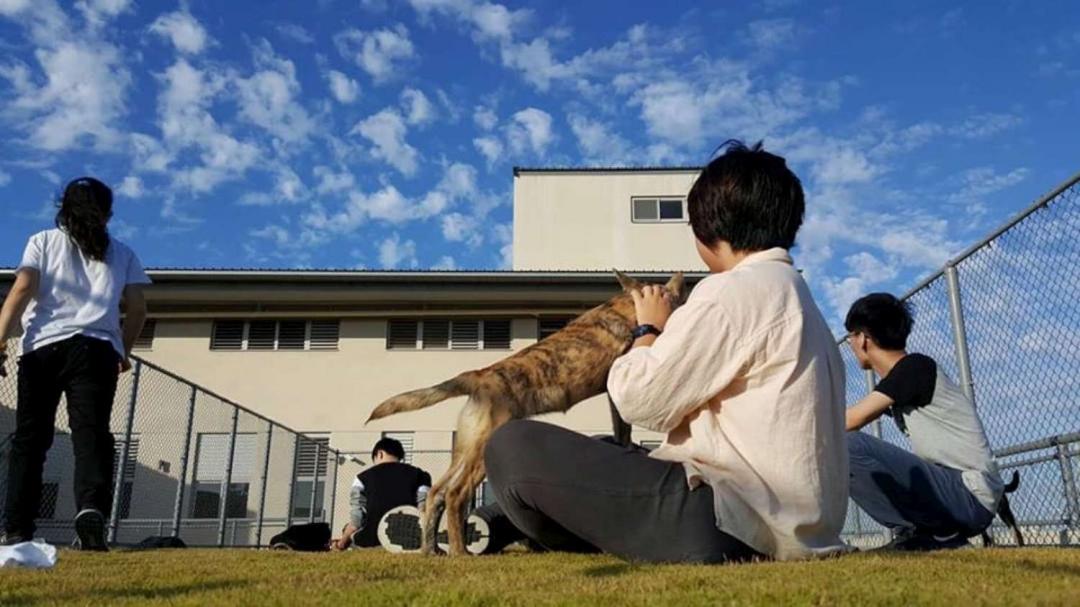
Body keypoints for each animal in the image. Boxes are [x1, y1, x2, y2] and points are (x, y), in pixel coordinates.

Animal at [362, 268, 682, 552]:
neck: (632, 305)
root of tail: (478, 376)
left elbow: (621, 432)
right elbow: (625, 427)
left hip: (464, 449)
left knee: (436, 494)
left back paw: (431, 550)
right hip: (481, 452)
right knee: (455, 496)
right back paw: (459, 552)